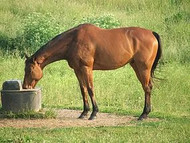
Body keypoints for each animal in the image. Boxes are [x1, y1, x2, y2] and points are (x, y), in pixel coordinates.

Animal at [22, 24, 162, 120]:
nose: (25, 86)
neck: (73, 41)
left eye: (29, 69)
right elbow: (83, 89)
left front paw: (94, 113)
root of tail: (151, 33)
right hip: (136, 66)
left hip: (143, 68)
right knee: (148, 87)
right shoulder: (78, 70)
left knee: (147, 87)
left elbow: (90, 88)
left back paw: (143, 114)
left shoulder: (86, 68)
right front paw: (84, 112)